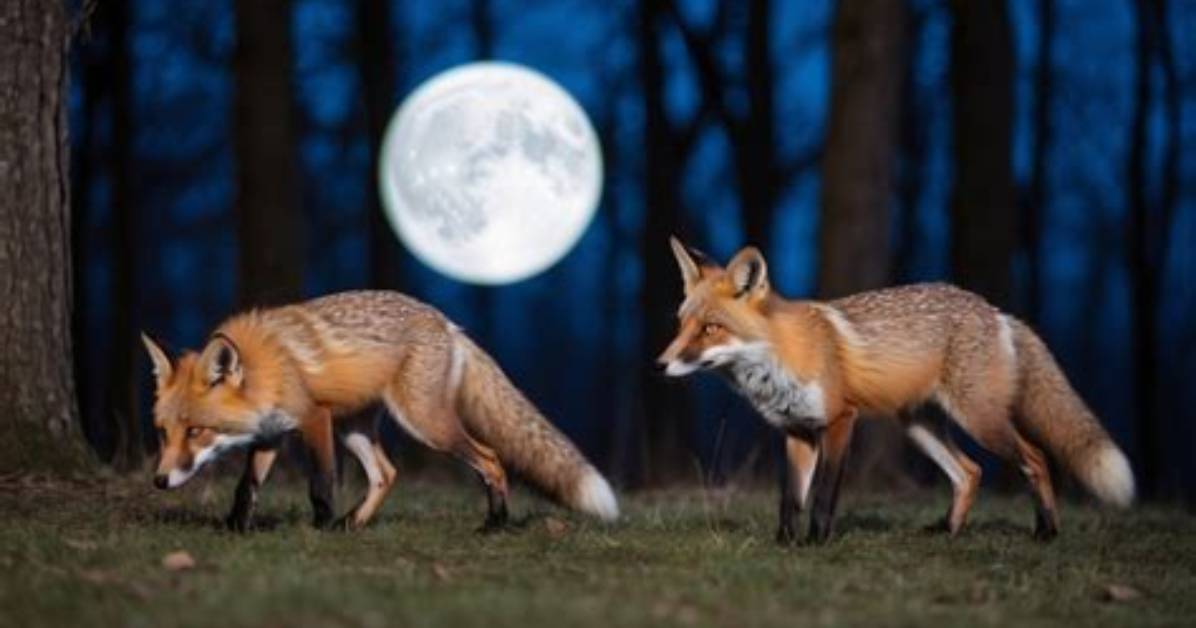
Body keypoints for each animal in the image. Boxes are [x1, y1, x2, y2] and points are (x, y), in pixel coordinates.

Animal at [142, 290, 618, 531]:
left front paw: (318, 529)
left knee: (491, 458)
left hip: (425, 425)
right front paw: (236, 530)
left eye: (196, 431)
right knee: (386, 474)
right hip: (355, 428)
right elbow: (247, 489)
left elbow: (320, 484)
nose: (160, 481)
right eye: (164, 433)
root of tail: (447, 323)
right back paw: (354, 523)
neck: (265, 369)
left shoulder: (315, 418)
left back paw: (495, 524)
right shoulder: (270, 434)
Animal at [657, 237, 1134, 544]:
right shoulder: (796, 432)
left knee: (1035, 459)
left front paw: (816, 544)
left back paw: (1047, 531)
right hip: (919, 426)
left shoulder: (839, 421)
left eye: (711, 328)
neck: (779, 361)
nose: (660, 364)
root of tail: (996, 311)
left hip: (981, 421)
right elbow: (790, 499)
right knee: (970, 472)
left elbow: (823, 495)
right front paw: (784, 544)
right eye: (681, 324)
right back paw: (949, 532)